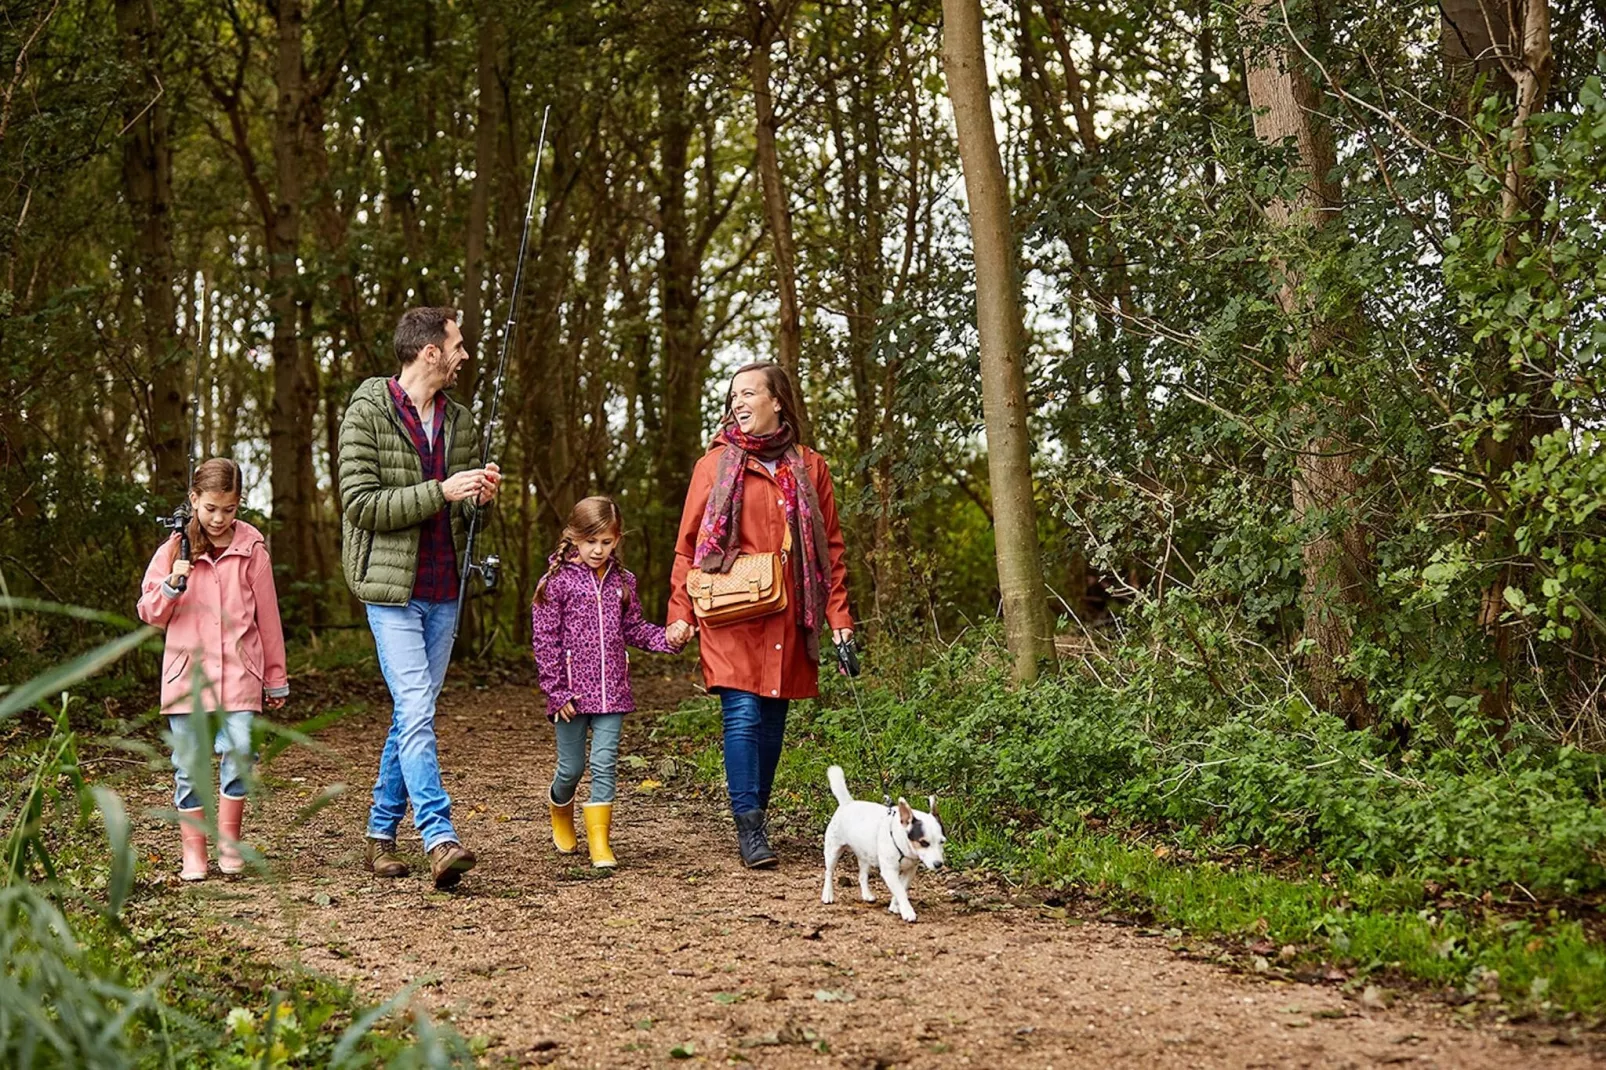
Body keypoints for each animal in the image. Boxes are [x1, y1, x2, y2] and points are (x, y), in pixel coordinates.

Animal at [828, 761, 937, 918]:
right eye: (924, 843)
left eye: (942, 842)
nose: (939, 864)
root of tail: (847, 803)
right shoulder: (889, 871)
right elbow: (900, 891)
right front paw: (907, 912)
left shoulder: (909, 871)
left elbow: (901, 889)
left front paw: (895, 907)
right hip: (833, 850)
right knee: (829, 872)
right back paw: (827, 895)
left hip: (865, 855)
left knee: (862, 875)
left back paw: (867, 895)